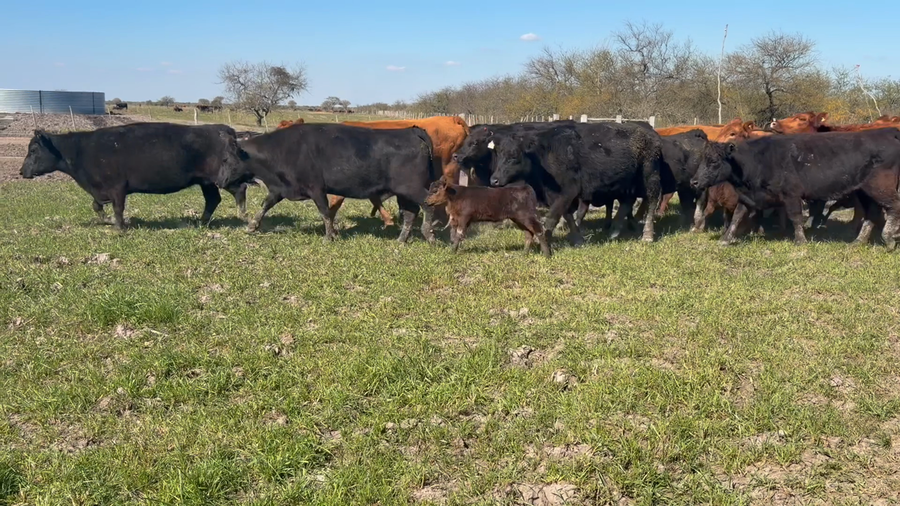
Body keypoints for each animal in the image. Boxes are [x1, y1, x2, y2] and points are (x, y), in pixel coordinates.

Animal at [18, 123, 248, 230]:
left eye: (33, 150)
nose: (21, 171)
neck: (81, 151)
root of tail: (223, 128)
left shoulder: (117, 187)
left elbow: (118, 208)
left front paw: (119, 227)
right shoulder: (100, 189)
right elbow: (97, 206)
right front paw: (109, 221)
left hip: (221, 177)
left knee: (240, 189)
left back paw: (242, 215)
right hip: (206, 182)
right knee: (213, 199)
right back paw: (201, 222)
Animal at [216, 123, 438, 243]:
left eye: (225, 159)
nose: (218, 181)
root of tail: (411, 131)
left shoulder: (316, 188)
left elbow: (324, 212)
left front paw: (329, 235)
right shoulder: (280, 189)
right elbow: (265, 205)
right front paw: (252, 226)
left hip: (412, 188)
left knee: (428, 204)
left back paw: (428, 234)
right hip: (404, 192)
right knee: (410, 213)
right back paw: (401, 240)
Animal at [490, 121, 664, 244]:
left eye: (513, 155)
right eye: (497, 154)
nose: (494, 179)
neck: (545, 155)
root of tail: (649, 133)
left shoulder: (568, 190)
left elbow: (552, 217)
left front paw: (545, 240)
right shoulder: (557, 195)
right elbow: (567, 215)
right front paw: (577, 239)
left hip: (650, 176)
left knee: (652, 201)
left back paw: (647, 234)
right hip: (625, 183)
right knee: (627, 202)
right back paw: (614, 231)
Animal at [690, 129, 900, 248]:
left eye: (714, 161)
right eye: (701, 159)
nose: (694, 182)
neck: (758, 160)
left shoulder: (791, 195)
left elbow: (796, 217)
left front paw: (800, 241)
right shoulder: (748, 198)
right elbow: (736, 217)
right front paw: (725, 239)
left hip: (880, 187)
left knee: (894, 207)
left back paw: (889, 238)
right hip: (865, 192)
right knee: (872, 214)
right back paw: (858, 242)